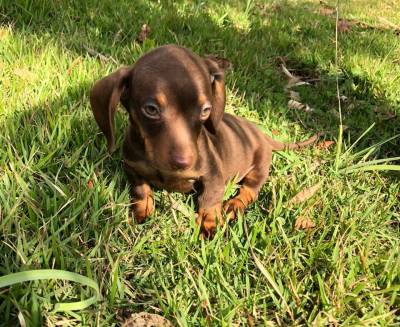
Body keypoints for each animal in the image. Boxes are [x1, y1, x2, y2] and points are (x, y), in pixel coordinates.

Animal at [90, 44, 318, 237]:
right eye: (151, 109)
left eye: (205, 110)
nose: (184, 163)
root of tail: (261, 134)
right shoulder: (131, 166)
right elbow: (140, 189)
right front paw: (142, 209)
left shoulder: (213, 176)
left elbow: (209, 199)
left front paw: (210, 223)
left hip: (260, 166)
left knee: (250, 190)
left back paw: (235, 204)